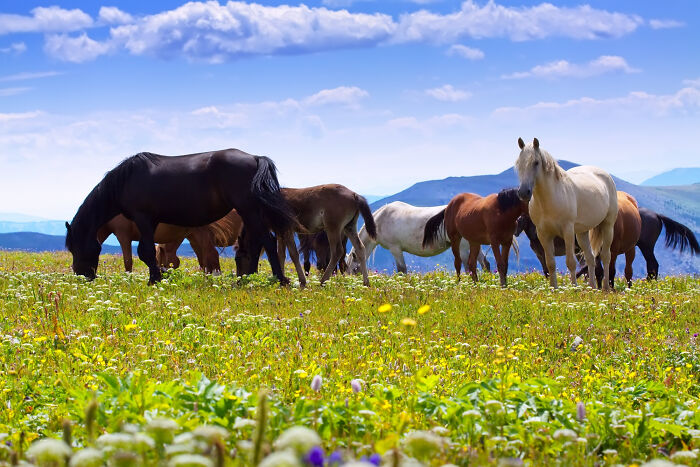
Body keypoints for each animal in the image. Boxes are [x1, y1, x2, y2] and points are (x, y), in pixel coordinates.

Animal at [65, 149, 294, 284]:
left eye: (75, 247)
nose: (82, 275)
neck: (125, 181)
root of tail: (255, 158)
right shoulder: (151, 222)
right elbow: (150, 253)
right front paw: (157, 276)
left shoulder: (143, 219)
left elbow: (145, 252)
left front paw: (154, 280)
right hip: (251, 213)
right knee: (258, 244)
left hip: (249, 210)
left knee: (268, 241)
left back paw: (280, 279)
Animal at [345, 201, 491, 274]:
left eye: (354, 269)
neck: (380, 220)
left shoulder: (395, 249)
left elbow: (402, 270)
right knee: (485, 263)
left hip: (463, 247)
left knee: (468, 268)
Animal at [514, 138, 618, 291]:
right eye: (518, 163)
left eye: (536, 162)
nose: (523, 192)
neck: (549, 200)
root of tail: (606, 175)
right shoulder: (543, 234)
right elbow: (550, 264)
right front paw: (554, 289)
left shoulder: (568, 230)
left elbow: (570, 262)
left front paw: (573, 288)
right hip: (582, 233)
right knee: (590, 258)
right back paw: (592, 288)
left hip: (607, 226)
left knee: (605, 256)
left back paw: (605, 288)